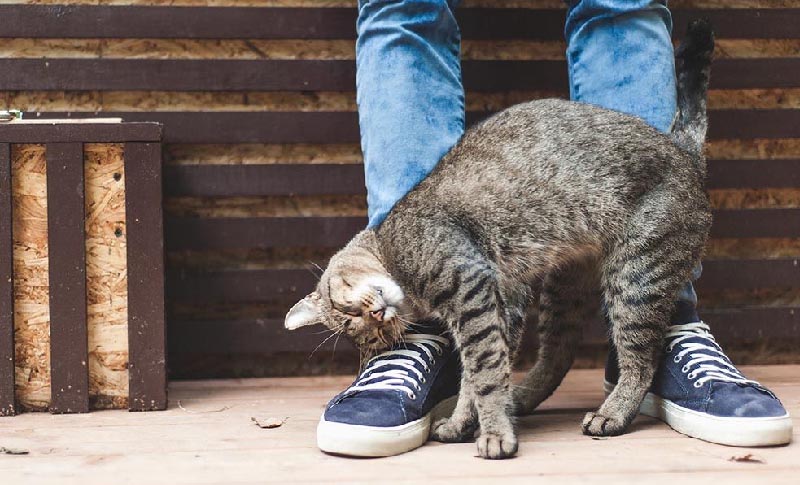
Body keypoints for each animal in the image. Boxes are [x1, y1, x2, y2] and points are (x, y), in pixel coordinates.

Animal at [284, 21, 716, 458]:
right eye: (371, 336)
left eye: (348, 312)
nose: (375, 318)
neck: (391, 249)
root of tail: (683, 150)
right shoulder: (500, 302)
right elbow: (477, 377)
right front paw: (464, 422)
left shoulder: (472, 291)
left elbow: (484, 372)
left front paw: (493, 433)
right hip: (563, 288)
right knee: (559, 354)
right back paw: (524, 397)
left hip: (637, 277)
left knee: (641, 360)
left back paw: (612, 412)